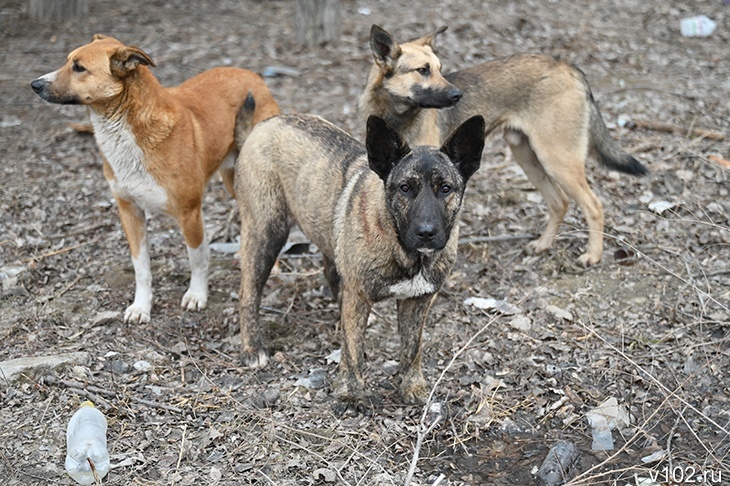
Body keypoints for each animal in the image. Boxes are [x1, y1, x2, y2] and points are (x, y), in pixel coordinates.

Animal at [30, 34, 278, 322]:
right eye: (68, 61)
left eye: (79, 68)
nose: (35, 84)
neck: (127, 129)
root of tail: (252, 75)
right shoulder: (130, 212)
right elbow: (142, 268)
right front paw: (141, 306)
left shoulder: (189, 213)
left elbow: (197, 259)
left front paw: (197, 294)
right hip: (231, 179)